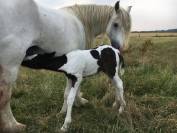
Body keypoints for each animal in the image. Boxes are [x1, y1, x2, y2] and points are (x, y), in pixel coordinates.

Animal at [0, 0, 131, 132]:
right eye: (116, 24)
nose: (119, 47)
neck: (79, 20)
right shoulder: (74, 71)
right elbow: (71, 92)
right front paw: (76, 104)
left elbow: (68, 93)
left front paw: (66, 111)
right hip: (10, 64)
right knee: (5, 96)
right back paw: (14, 125)